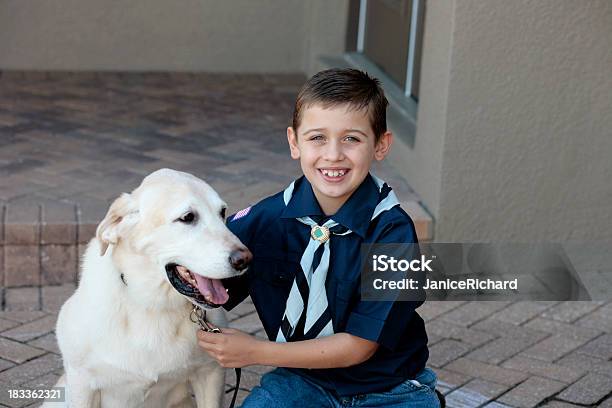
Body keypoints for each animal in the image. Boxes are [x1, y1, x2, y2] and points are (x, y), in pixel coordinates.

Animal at [41, 169, 251, 408]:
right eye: (187, 217)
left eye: (222, 212)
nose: (245, 259)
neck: (153, 305)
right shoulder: (82, 382)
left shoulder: (210, 373)